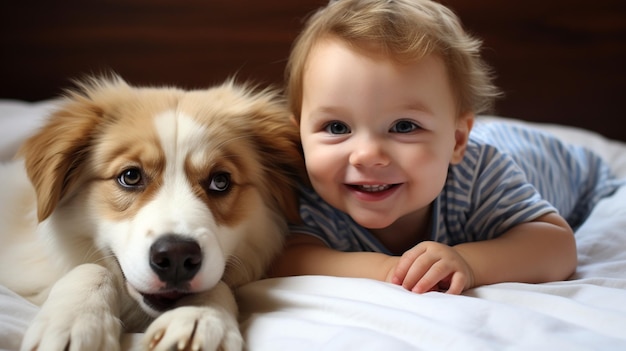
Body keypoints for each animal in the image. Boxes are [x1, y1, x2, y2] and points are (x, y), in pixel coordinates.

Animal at [0, 77, 304, 351]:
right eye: (130, 176)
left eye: (220, 181)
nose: (177, 257)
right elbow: (93, 268)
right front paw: (76, 323)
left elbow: (217, 284)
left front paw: (199, 317)